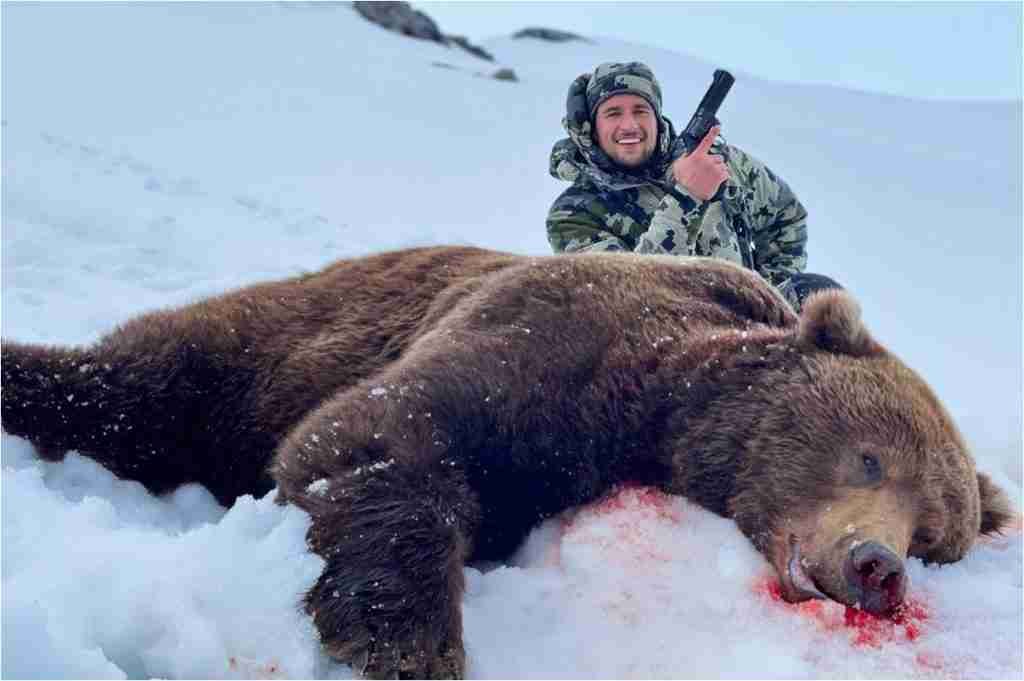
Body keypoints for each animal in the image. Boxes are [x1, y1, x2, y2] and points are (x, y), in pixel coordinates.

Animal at [0, 245, 1011, 675]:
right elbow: (381, 435)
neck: (657, 404)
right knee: (136, 383)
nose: (877, 565)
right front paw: (408, 641)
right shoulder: (549, 333)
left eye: (935, 535)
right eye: (870, 457)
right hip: (268, 342)